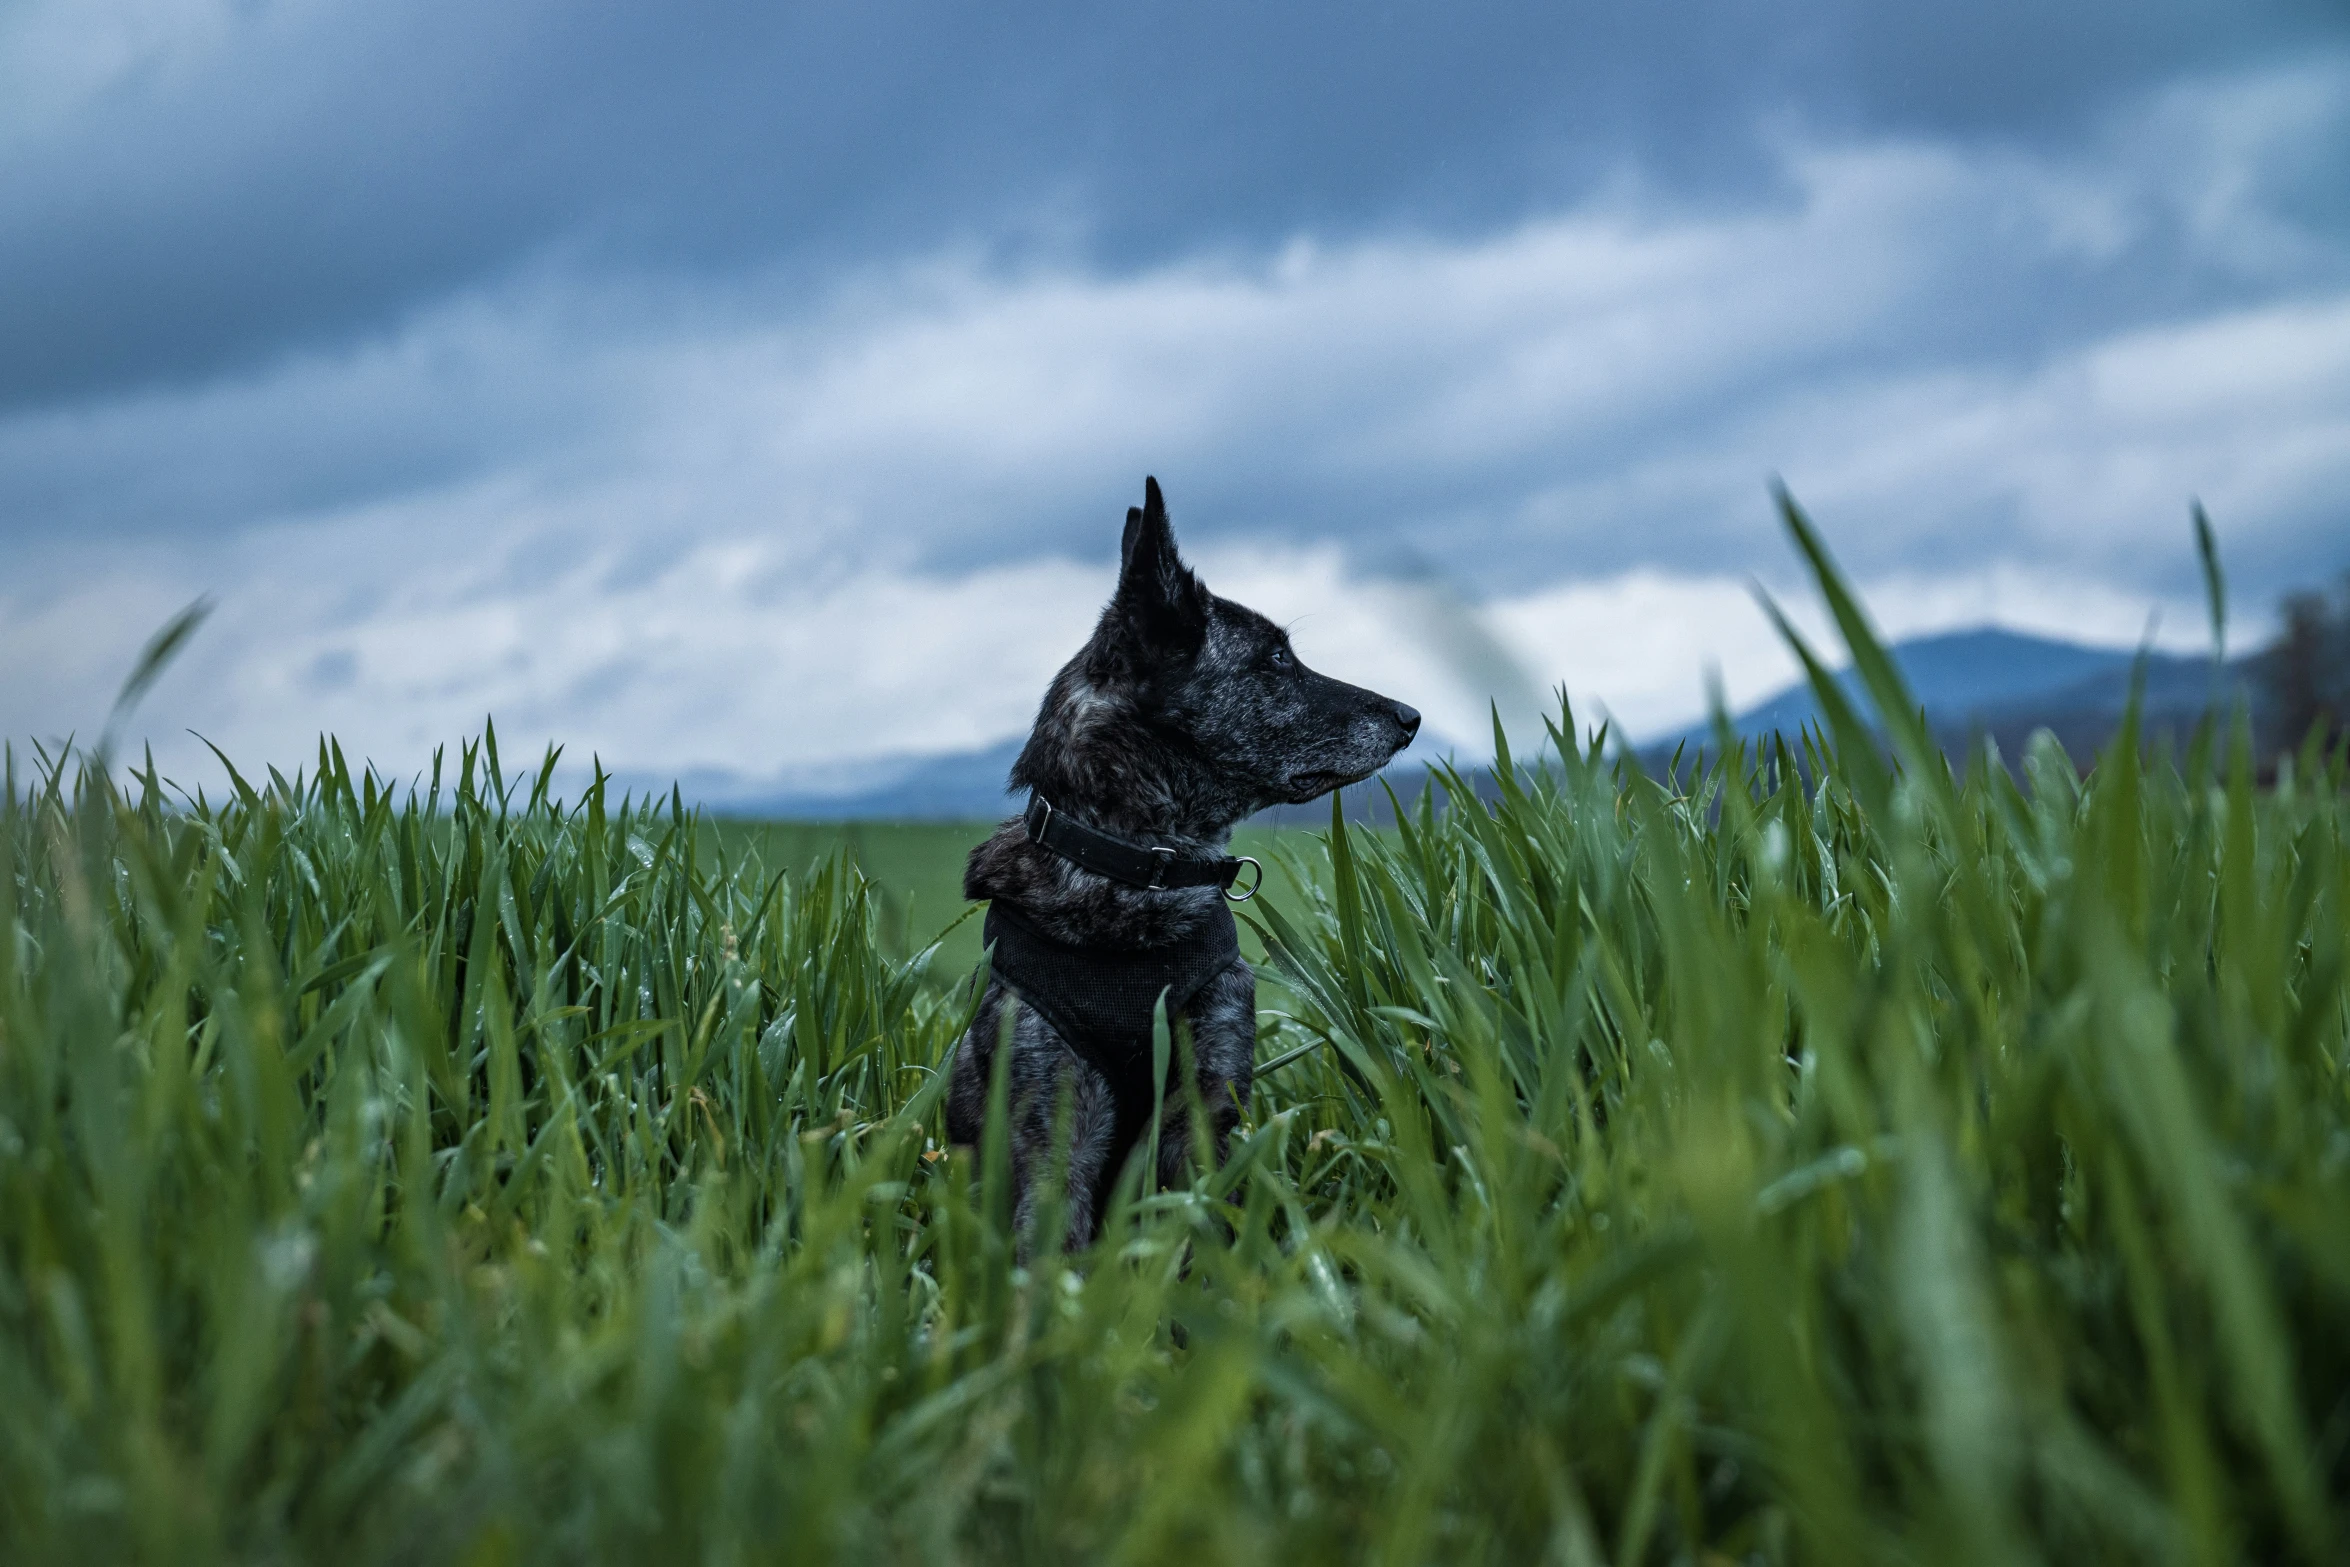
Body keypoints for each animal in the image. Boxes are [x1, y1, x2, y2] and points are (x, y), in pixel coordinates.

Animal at [944, 479, 1419, 1249]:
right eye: (1276, 660)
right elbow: (1052, 1250)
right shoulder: (1054, 1123)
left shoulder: (1209, 1100)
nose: (1410, 717)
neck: (1140, 873)